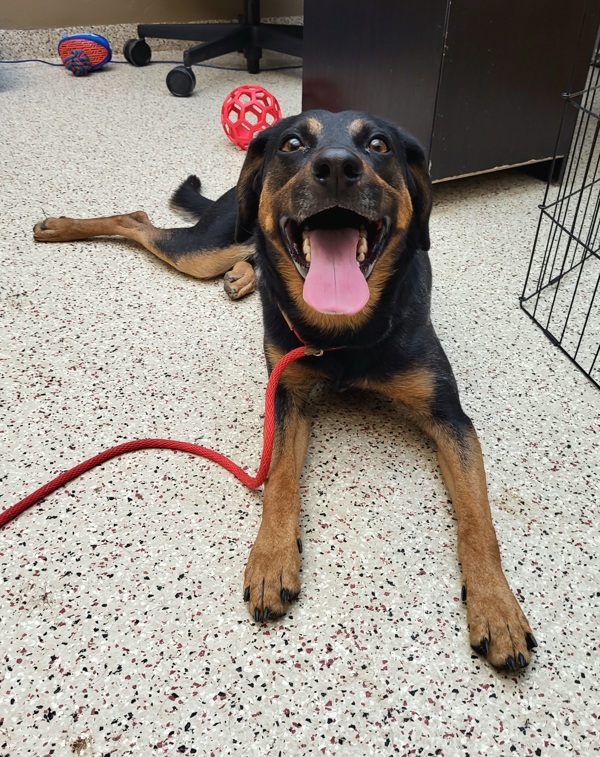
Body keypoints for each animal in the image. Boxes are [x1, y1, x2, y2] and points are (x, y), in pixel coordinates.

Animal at [32, 110, 536, 668]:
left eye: (379, 145)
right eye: (292, 143)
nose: (336, 167)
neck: (340, 333)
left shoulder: (449, 418)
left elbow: (478, 520)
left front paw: (497, 606)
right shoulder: (286, 398)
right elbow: (278, 483)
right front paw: (272, 559)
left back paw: (241, 276)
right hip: (208, 247)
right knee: (138, 220)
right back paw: (61, 227)